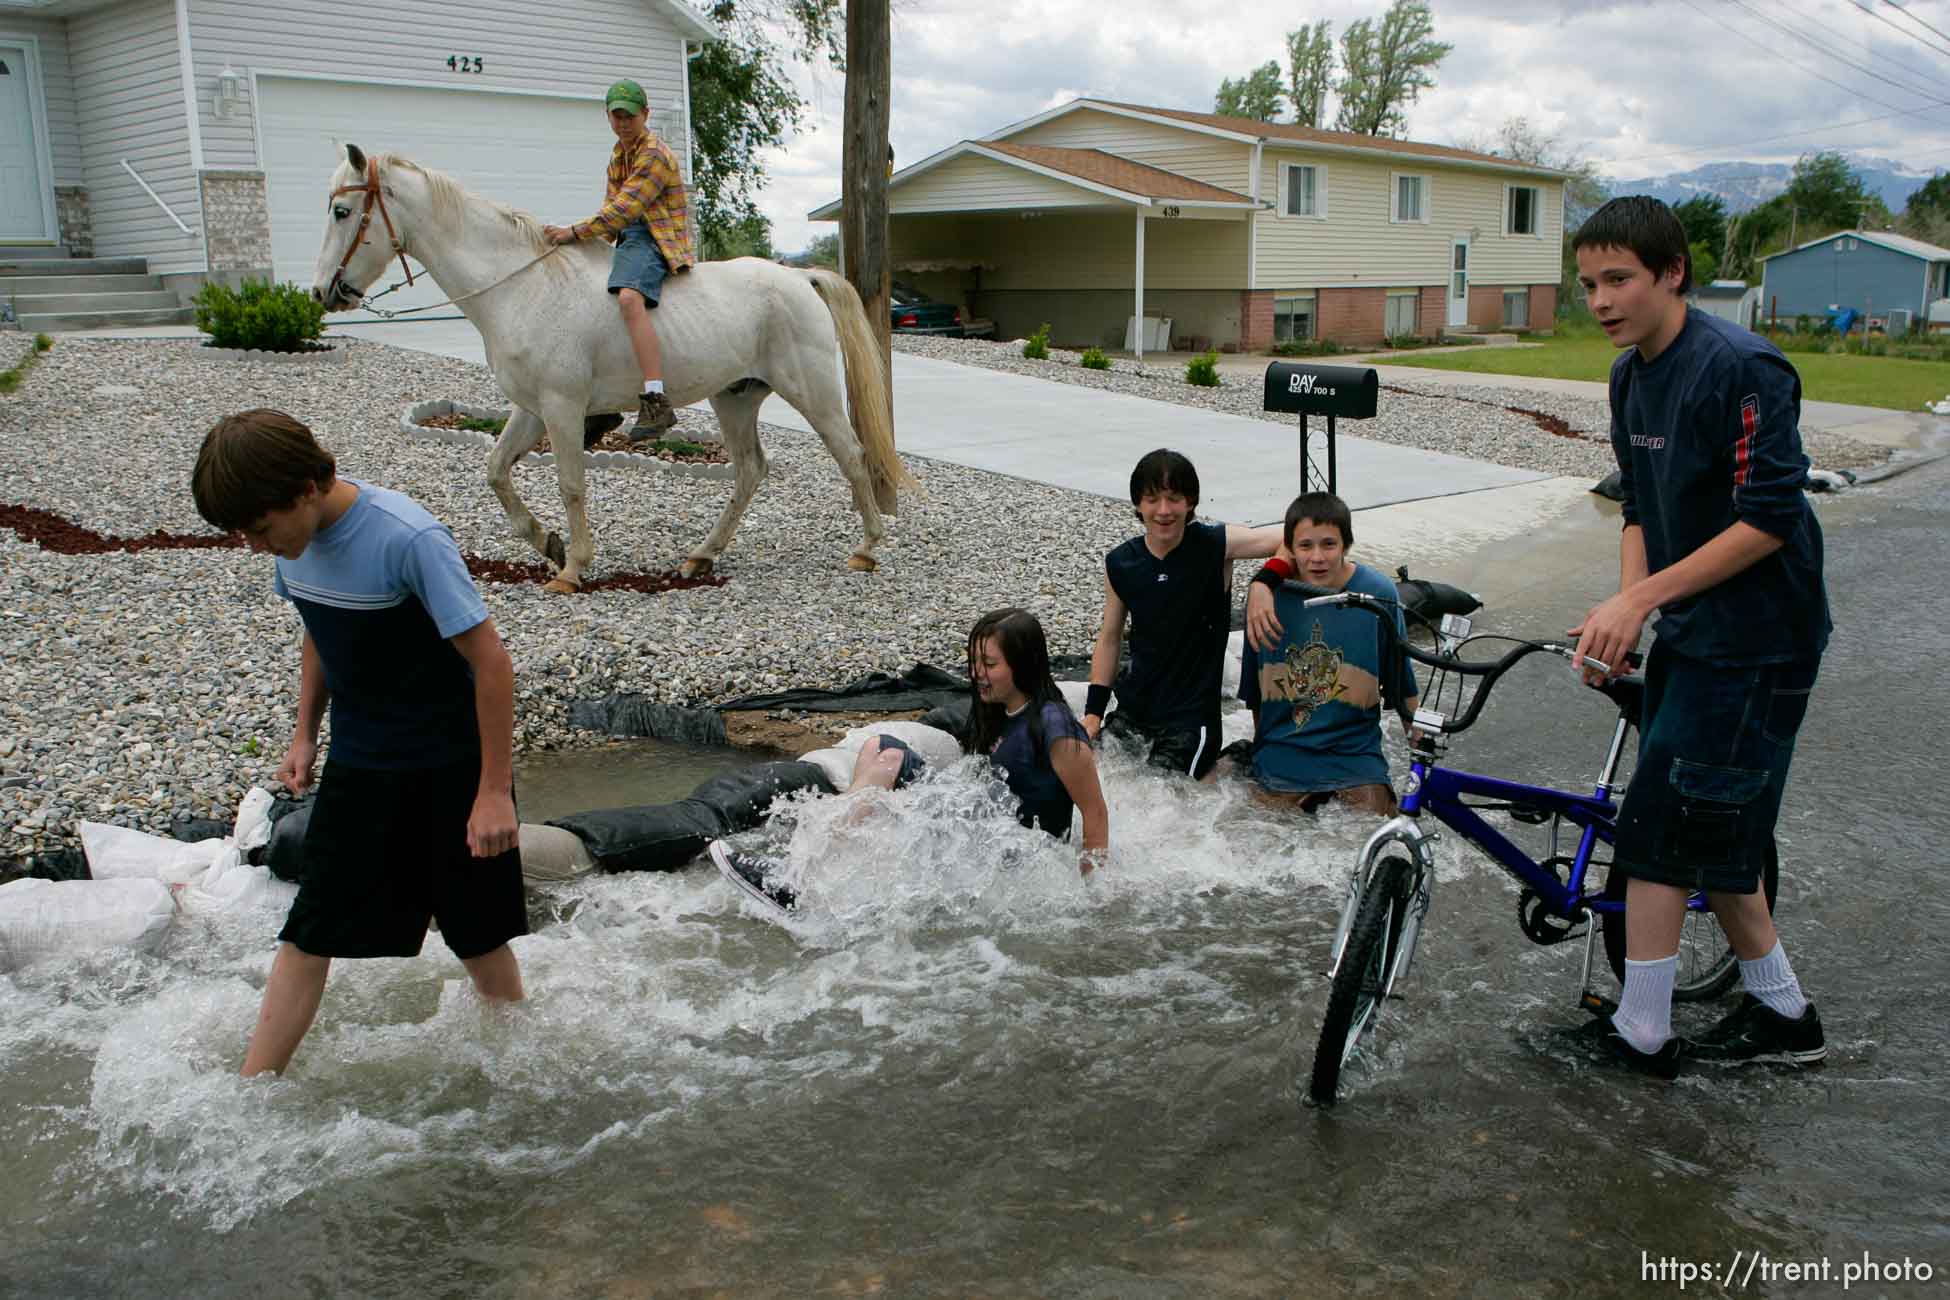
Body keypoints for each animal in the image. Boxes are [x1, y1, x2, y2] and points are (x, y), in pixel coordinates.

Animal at [306, 145, 912, 592]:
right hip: (735, 398)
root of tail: (798, 277)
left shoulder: (562, 407)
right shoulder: (530, 408)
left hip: (811, 391)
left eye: (342, 212)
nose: (323, 292)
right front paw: (547, 544)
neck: (522, 286)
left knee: (851, 454)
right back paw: (700, 557)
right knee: (749, 471)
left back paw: (865, 548)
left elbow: (571, 483)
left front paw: (572, 568)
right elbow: (497, 472)